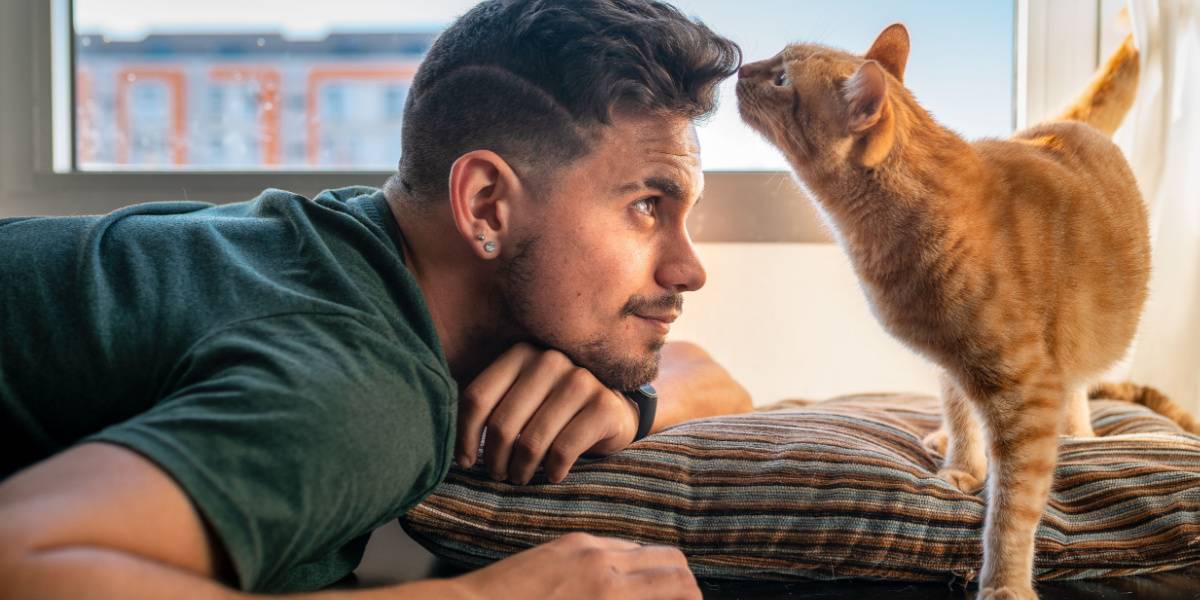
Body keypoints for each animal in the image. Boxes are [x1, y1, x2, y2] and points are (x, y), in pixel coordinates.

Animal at [734, 25, 1147, 597]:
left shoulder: (1027, 394)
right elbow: (961, 414)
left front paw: (1004, 581)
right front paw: (962, 463)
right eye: (774, 62)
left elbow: (1012, 510)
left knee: (1079, 387)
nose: (738, 68)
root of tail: (1062, 124)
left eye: (780, 79)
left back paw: (1078, 433)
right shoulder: (951, 363)